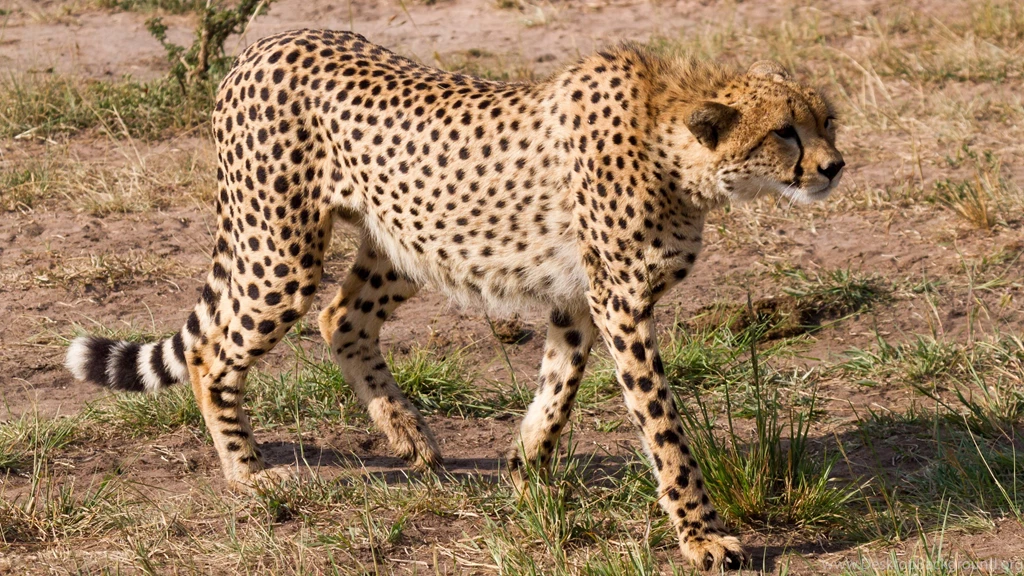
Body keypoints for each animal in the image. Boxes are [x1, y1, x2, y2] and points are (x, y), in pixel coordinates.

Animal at [65, 29, 844, 571]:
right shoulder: (620, 304)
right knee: (211, 352)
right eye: (784, 132)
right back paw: (247, 472)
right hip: (281, 251)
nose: (835, 166)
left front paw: (525, 475)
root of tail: (261, 47)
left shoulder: (576, 300)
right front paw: (703, 537)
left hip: (406, 239)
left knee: (340, 318)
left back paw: (408, 434)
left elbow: (557, 390)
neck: (673, 143)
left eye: (827, 121)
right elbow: (664, 429)